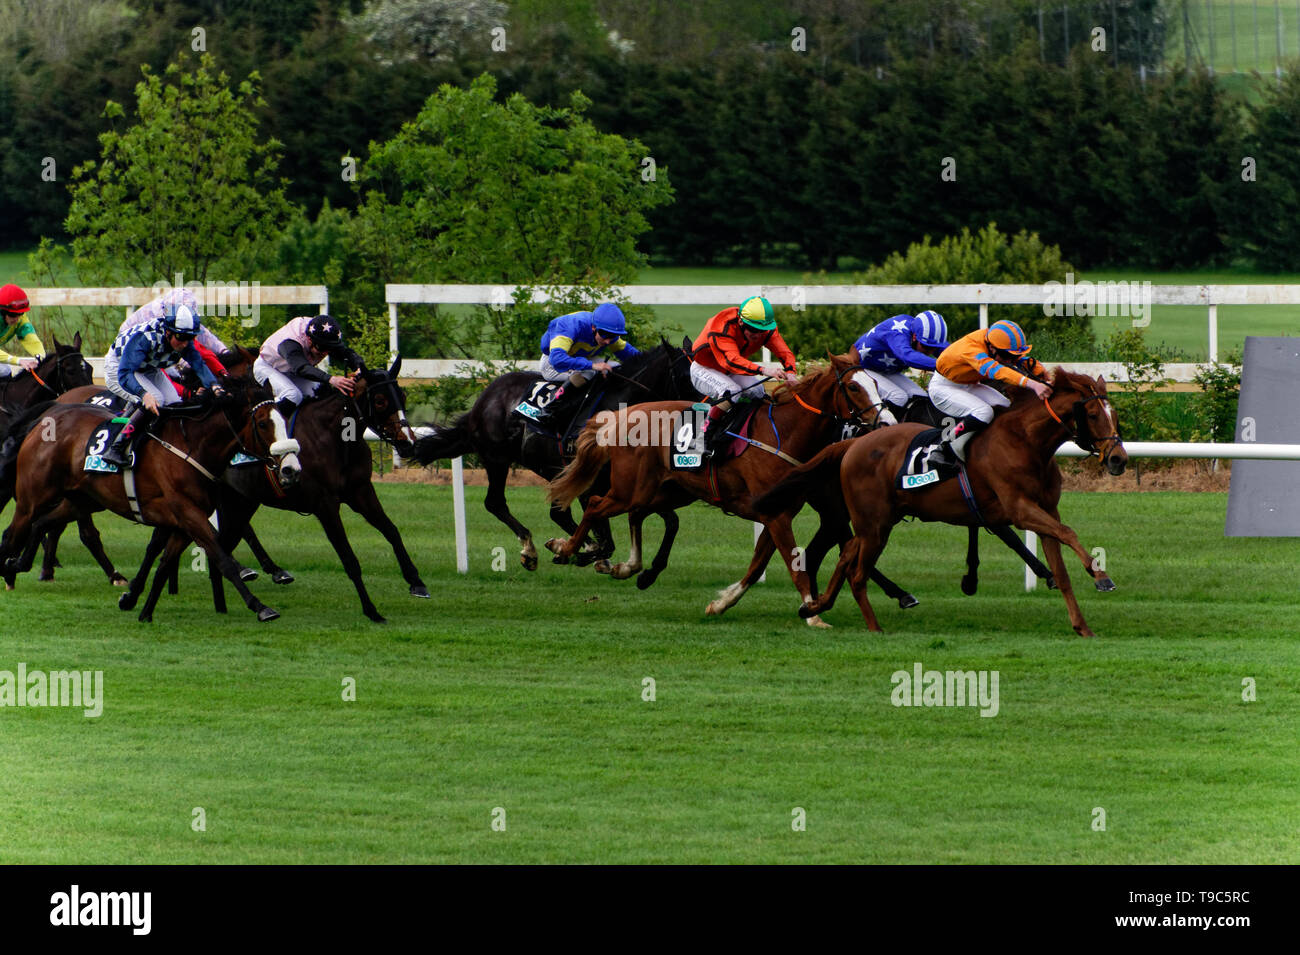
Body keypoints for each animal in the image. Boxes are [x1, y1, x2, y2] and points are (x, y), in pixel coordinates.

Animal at [416, 340, 702, 571]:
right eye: (687, 377)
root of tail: (483, 399)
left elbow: (671, 522)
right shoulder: (591, 483)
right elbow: (605, 539)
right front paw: (579, 552)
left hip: (547, 468)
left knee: (556, 514)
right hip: (497, 458)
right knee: (496, 503)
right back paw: (531, 550)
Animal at [754, 369, 1128, 639]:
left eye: (1114, 414)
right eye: (1092, 413)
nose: (1119, 460)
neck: (1026, 442)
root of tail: (853, 443)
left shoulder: (1045, 511)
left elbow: (1061, 565)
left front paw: (1082, 625)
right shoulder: (1021, 510)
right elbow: (1069, 532)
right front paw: (1101, 576)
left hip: (875, 521)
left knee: (846, 556)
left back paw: (815, 606)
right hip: (873, 525)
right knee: (856, 571)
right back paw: (873, 627)